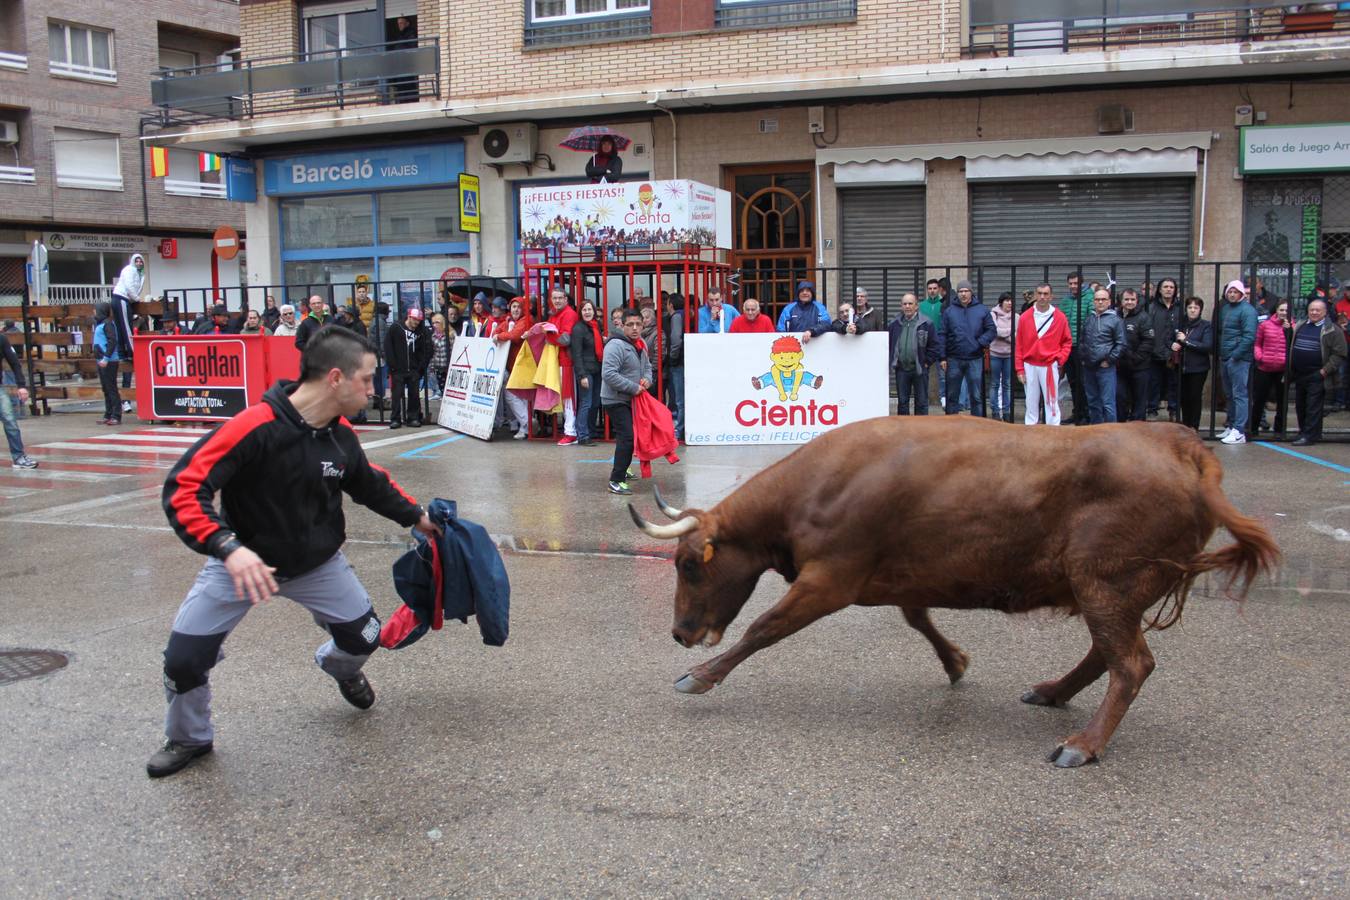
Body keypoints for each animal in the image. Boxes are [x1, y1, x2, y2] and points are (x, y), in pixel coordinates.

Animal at [629, 418, 1274, 771]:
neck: (821, 484)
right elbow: (918, 619)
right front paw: (957, 662)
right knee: (1106, 655)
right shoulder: (896, 576)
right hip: (1110, 590)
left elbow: (764, 627)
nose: (679, 634)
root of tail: (1182, 446)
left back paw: (1082, 745)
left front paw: (700, 677)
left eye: (688, 565)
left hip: (1103, 582)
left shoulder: (830, 579)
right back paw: (1051, 692)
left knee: (1131, 664)